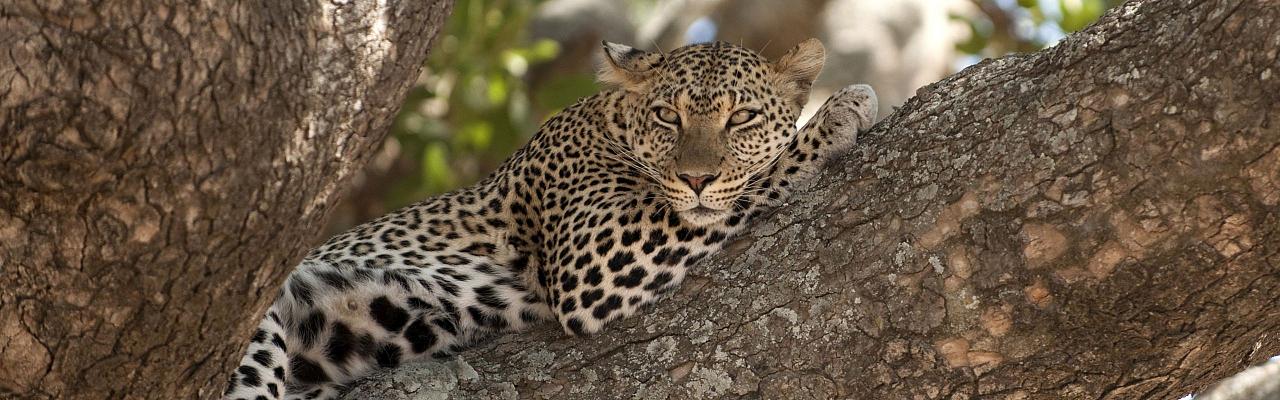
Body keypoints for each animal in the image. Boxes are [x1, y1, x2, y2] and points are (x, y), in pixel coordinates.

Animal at [225, 38, 875, 400]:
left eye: (741, 118)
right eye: (668, 116)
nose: (695, 177)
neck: (610, 123)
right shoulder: (593, 257)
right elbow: (743, 187)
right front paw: (841, 112)